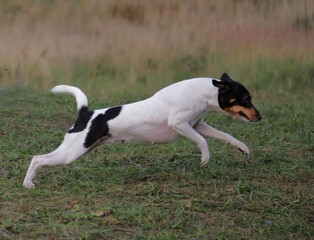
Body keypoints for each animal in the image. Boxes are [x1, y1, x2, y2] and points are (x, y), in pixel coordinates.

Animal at [23, 72, 262, 188]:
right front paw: (204, 160)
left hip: (80, 148)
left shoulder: (197, 125)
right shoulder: (179, 124)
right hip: (72, 152)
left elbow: (226, 136)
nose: (259, 117)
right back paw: (27, 184)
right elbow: (203, 142)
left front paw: (243, 148)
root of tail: (86, 113)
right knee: (37, 158)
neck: (202, 93)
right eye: (245, 98)